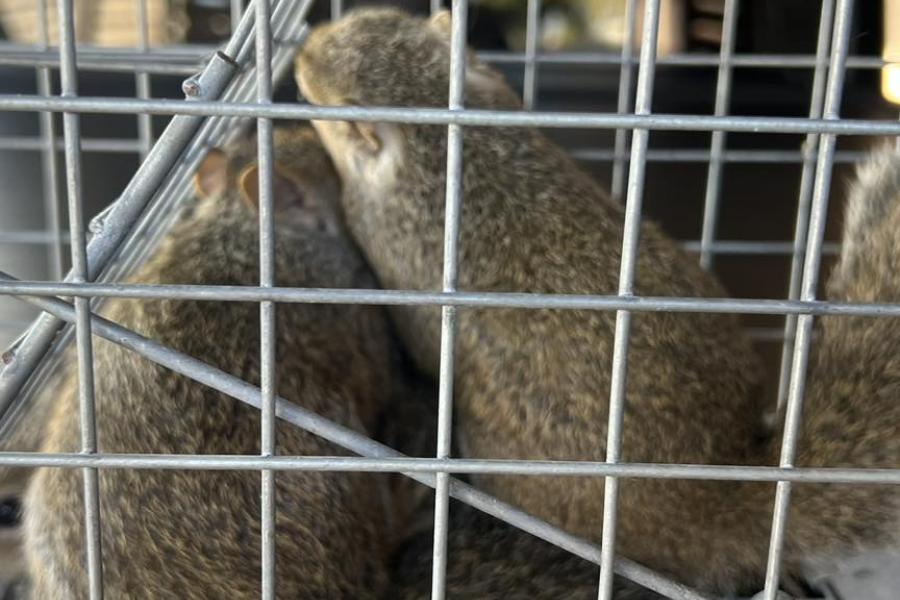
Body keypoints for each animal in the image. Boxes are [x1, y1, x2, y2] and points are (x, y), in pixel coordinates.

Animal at [294, 8, 899, 595]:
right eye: (387, 18)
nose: (302, 53)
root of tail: (715, 504)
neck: (459, 150)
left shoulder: (388, 243)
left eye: (330, 109)